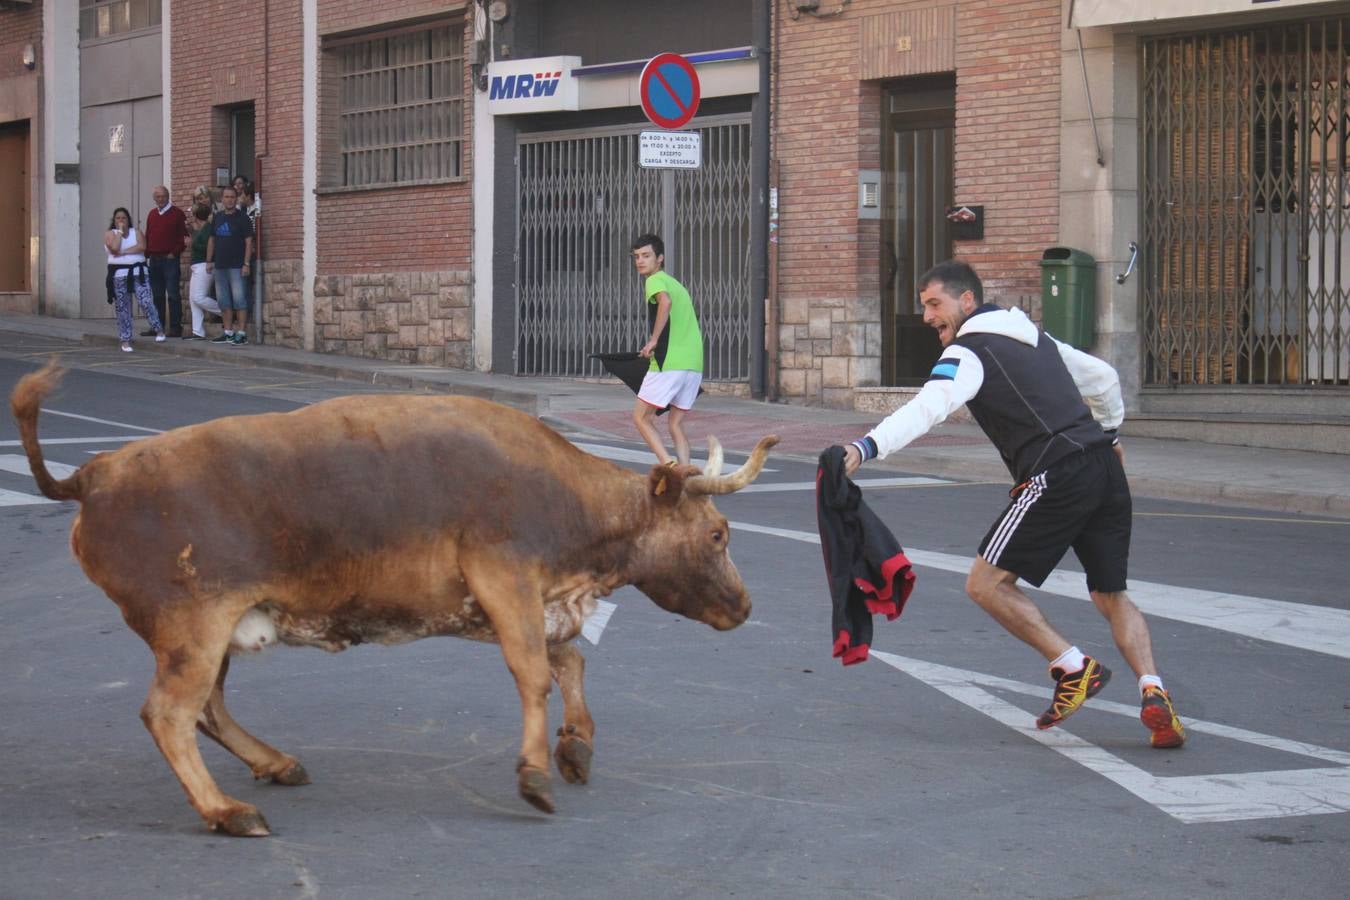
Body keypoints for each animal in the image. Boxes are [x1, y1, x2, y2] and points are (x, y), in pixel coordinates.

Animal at [7, 361, 783, 841]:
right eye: (717, 533)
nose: (746, 608)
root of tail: (94, 474)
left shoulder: (533, 600)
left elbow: (570, 665)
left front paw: (576, 746)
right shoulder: (504, 577)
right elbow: (536, 671)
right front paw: (535, 774)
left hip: (213, 632)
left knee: (207, 710)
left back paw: (276, 765)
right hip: (192, 627)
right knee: (170, 714)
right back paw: (228, 811)